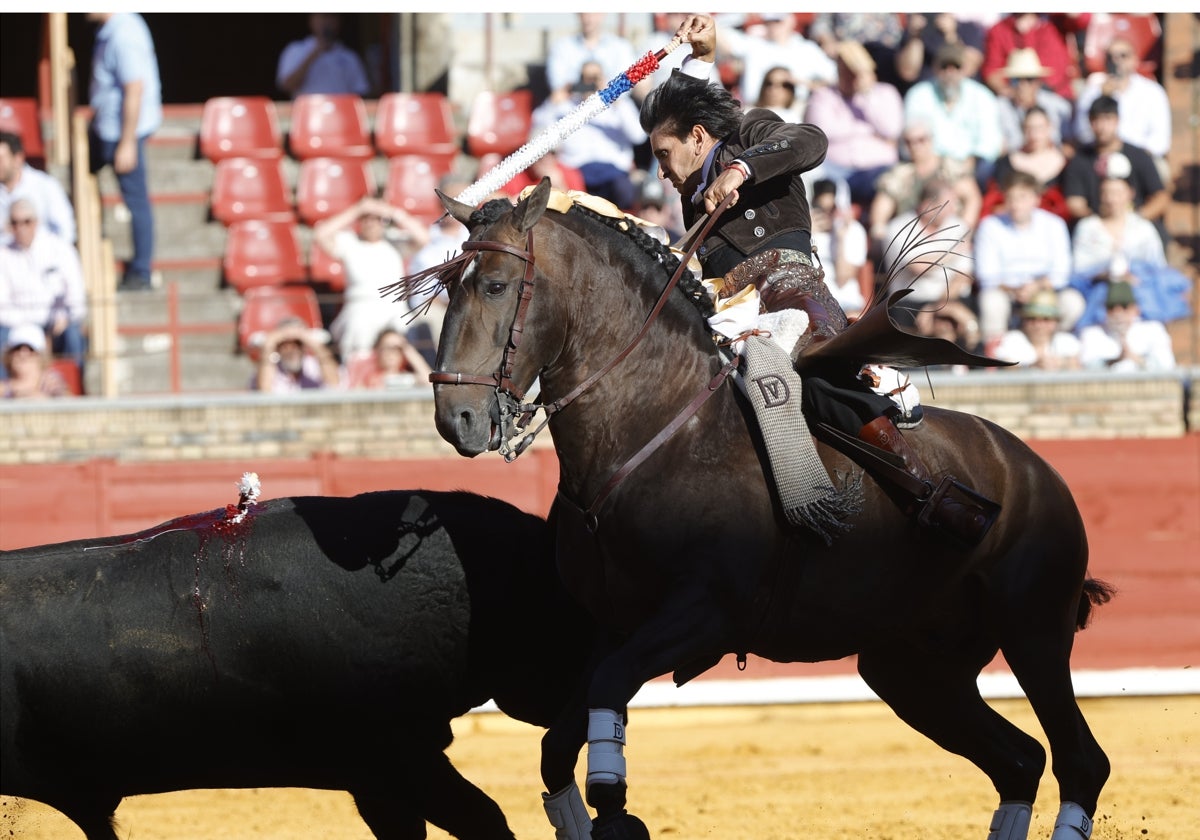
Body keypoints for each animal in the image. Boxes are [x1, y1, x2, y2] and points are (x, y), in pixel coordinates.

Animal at [417, 182, 1108, 840]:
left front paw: (617, 816)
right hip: (911, 667)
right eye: (447, 285)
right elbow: (557, 747)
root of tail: (1034, 467)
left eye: (496, 284)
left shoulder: (705, 613)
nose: (457, 419)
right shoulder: (617, 624)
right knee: (1020, 760)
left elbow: (606, 699)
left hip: (1033, 630)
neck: (657, 420)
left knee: (1081, 762)